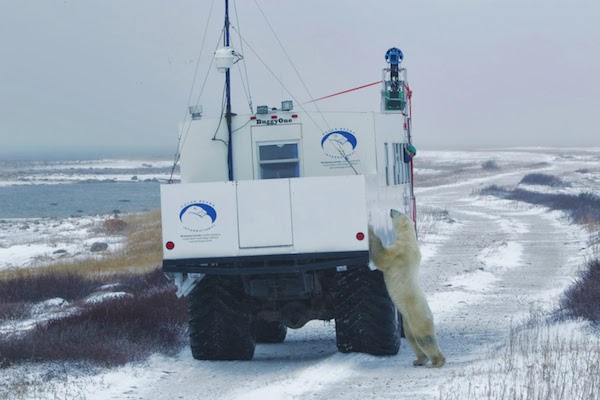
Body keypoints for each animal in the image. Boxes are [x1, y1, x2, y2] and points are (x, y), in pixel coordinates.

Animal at [366, 209, 446, 368]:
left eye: (398, 213)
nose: (391, 210)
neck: (409, 239)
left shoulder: (399, 253)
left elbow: (382, 257)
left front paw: (370, 228)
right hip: (408, 322)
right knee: (412, 339)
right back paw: (418, 360)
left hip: (418, 317)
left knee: (424, 339)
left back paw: (436, 362)